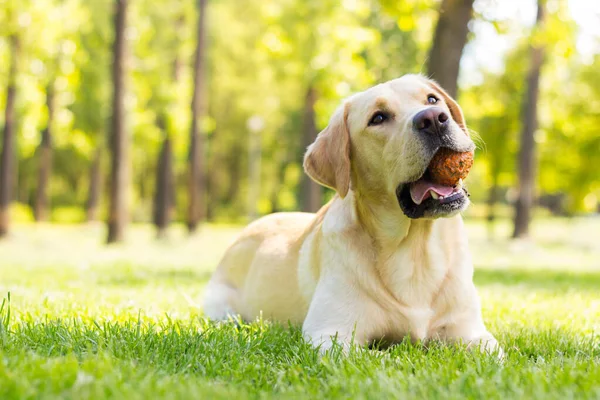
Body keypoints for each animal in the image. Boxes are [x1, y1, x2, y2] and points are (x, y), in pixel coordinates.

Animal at [205, 75, 502, 356]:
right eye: (378, 118)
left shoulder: (472, 332)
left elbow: (493, 353)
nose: (433, 119)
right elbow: (382, 358)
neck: (413, 248)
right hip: (221, 308)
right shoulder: (330, 335)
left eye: (432, 99)